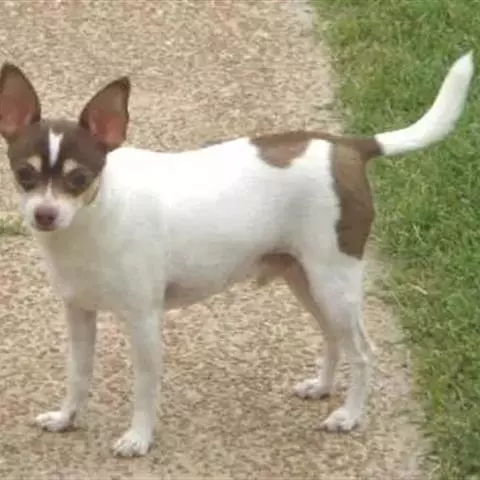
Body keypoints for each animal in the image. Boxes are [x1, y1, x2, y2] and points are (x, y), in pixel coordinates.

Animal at [0, 51, 473, 457]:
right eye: (24, 175)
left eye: (78, 179)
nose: (44, 214)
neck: (95, 218)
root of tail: (347, 146)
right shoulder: (79, 314)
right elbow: (78, 374)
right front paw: (67, 418)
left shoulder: (144, 321)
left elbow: (145, 387)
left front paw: (139, 438)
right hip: (307, 280)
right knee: (332, 337)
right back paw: (322, 388)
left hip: (334, 283)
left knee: (362, 350)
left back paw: (349, 415)